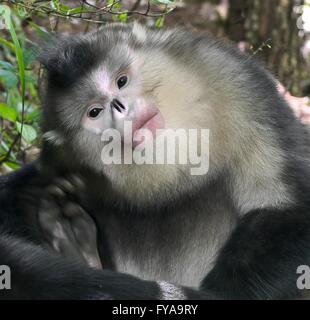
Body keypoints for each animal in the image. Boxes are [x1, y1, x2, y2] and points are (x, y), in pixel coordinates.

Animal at [0, 23, 310, 300]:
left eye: (121, 81)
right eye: (95, 112)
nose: (120, 107)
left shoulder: (235, 81)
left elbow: (285, 207)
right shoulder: (56, 164)